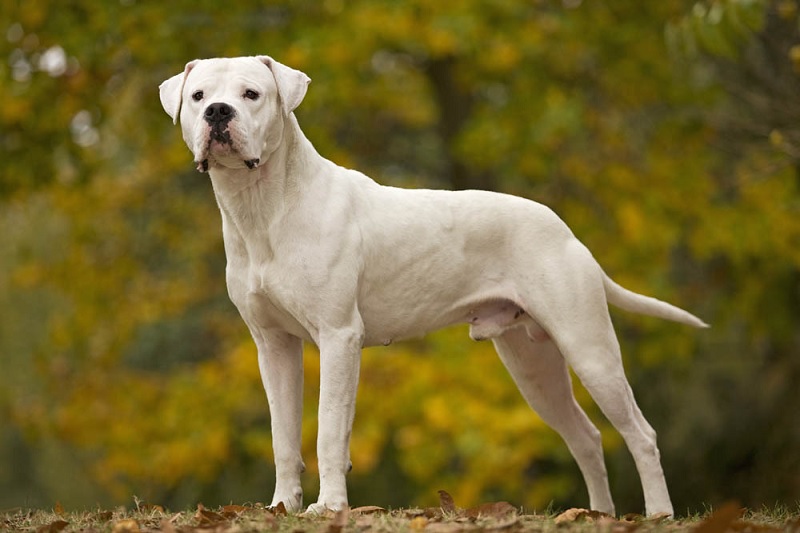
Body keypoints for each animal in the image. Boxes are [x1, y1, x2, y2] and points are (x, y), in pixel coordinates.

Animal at [161, 57, 708, 516]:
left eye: (251, 94)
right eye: (198, 95)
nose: (217, 112)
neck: (264, 208)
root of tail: (567, 231)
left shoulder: (339, 337)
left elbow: (329, 431)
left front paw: (329, 507)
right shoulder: (273, 346)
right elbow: (283, 436)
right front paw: (282, 507)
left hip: (588, 347)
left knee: (640, 433)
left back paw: (659, 513)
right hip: (533, 366)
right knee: (587, 437)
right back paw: (598, 516)